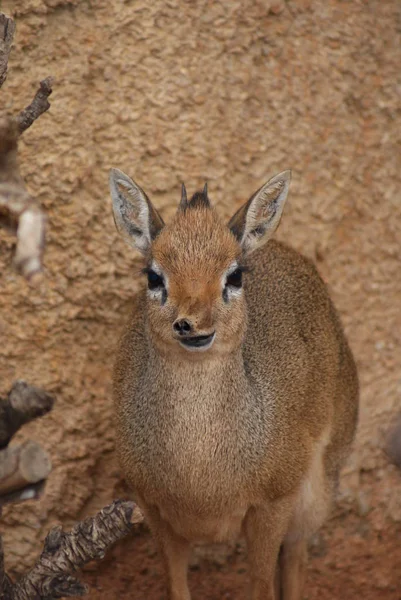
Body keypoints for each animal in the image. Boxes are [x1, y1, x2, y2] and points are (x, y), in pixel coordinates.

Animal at [108, 169, 356, 600]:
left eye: (235, 274)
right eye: (154, 276)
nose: (191, 324)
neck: (201, 480)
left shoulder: (272, 505)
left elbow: (262, 586)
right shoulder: (152, 510)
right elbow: (176, 587)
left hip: (314, 497)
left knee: (296, 560)